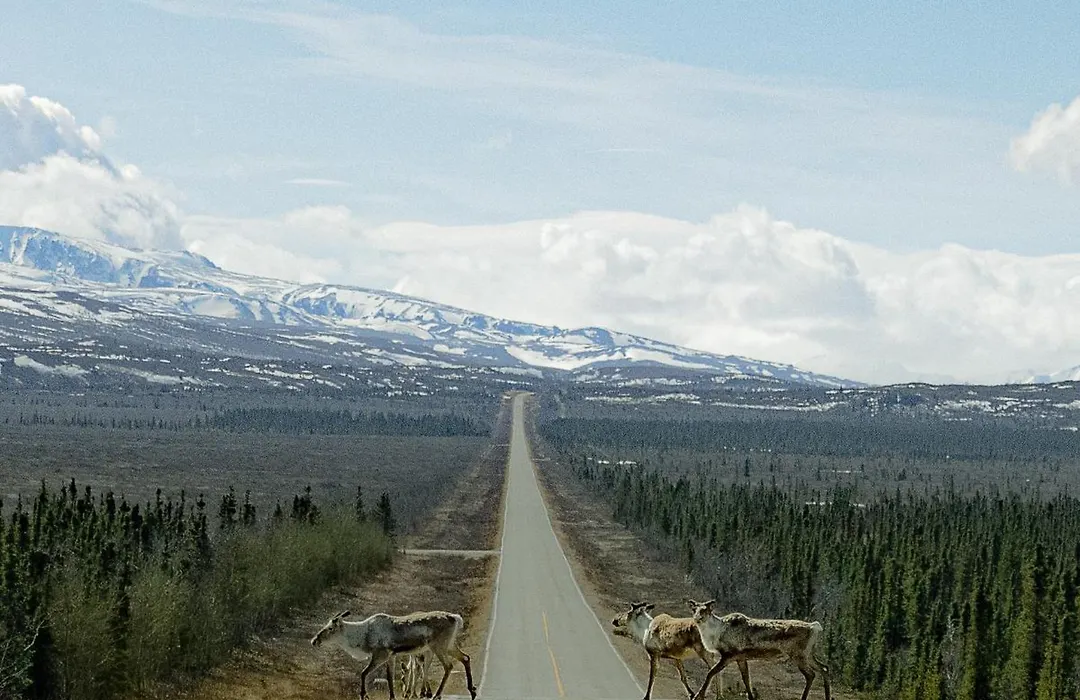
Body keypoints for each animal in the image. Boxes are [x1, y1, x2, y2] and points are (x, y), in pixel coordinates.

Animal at [310, 609, 477, 700]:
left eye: (330, 628)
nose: (314, 640)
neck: (363, 636)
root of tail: (456, 618)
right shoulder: (391, 656)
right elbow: (389, 677)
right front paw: (392, 696)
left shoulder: (381, 655)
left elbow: (363, 673)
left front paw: (364, 694)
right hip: (449, 645)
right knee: (465, 657)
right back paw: (472, 690)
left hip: (439, 646)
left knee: (449, 666)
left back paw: (437, 695)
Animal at [688, 599, 830, 700]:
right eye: (694, 609)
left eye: (705, 610)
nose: (697, 619)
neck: (716, 632)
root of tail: (814, 627)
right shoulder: (740, 658)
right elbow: (746, 679)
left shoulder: (728, 655)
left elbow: (710, 673)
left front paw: (697, 696)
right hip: (808, 654)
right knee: (824, 668)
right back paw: (827, 696)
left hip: (798, 656)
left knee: (811, 674)